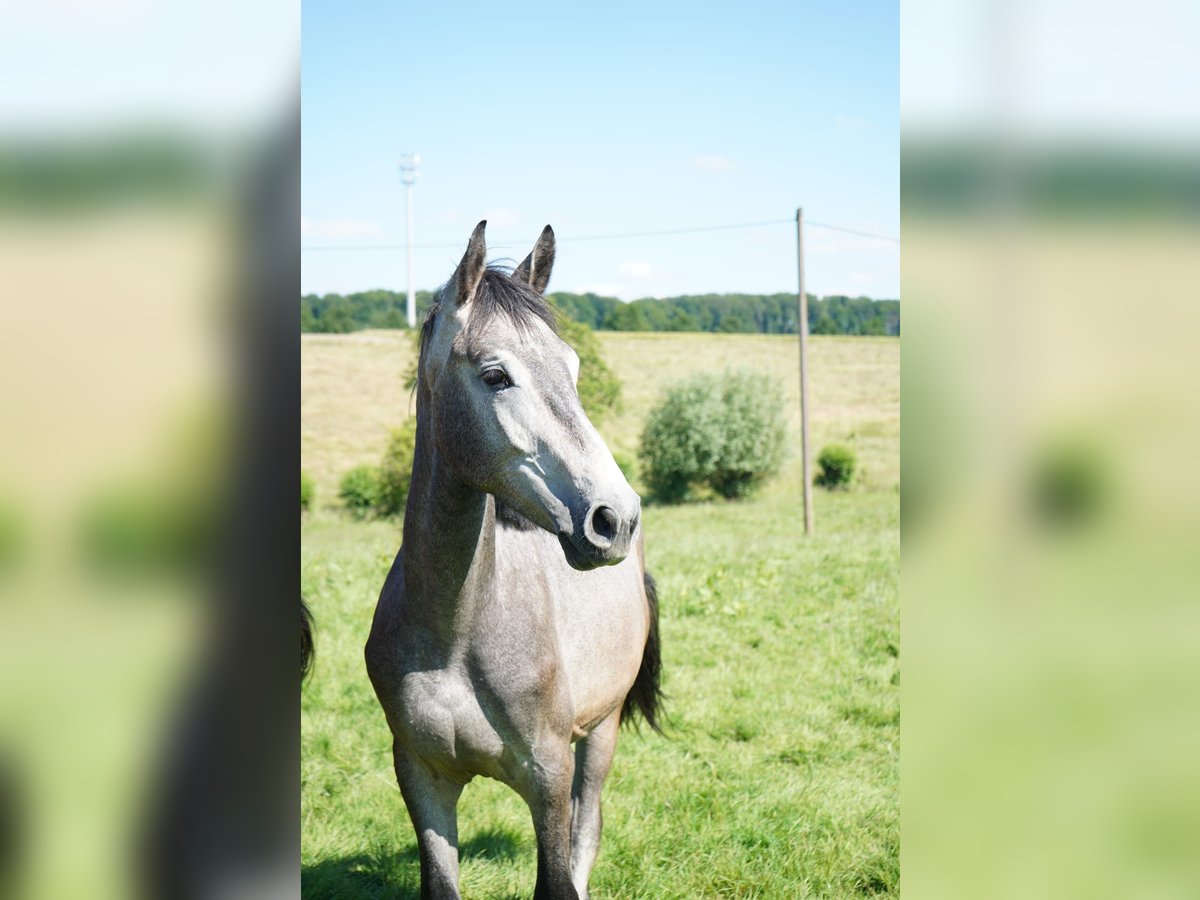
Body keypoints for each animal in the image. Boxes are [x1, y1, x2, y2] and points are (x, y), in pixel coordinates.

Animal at [364, 220, 667, 900]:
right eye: (496, 375)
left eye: (573, 368)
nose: (614, 517)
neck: (455, 633)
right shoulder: (420, 777)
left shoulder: (547, 777)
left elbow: (559, 874)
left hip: (601, 732)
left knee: (588, 827)